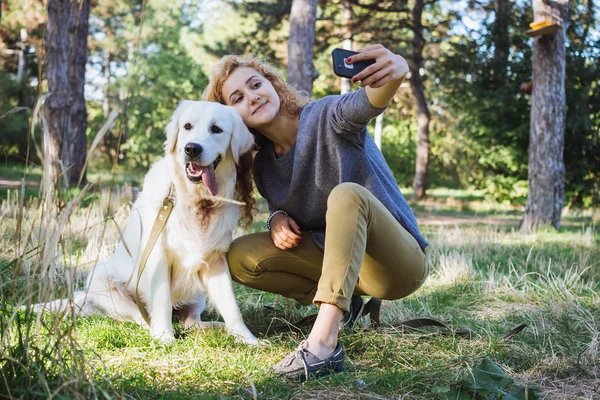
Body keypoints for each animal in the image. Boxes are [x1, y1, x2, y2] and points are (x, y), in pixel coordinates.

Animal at [33, 101, 258, 344]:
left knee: (191, 322)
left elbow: (231, 306)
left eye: (216, 129)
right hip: (102, 278)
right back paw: (155, 329)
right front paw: (164, 336)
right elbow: (161, 301)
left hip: (197, 294)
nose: (191, 149)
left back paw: (217, 327)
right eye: (187, 126)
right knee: (140, 318)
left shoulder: (216, 260)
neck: (194, 199)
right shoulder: (158, 255)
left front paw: (247, 338)